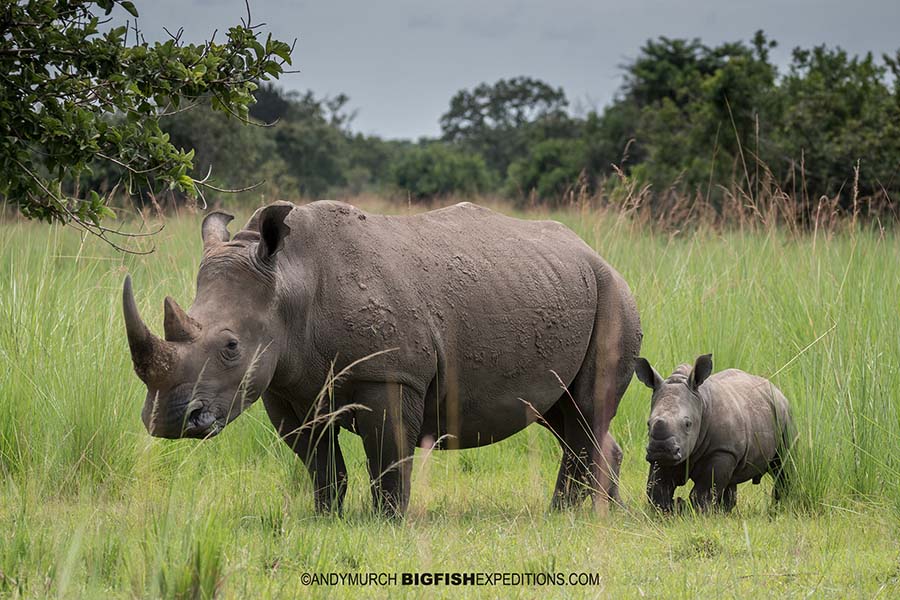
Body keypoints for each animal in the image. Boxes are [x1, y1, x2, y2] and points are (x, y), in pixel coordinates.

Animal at [121, 202, 640, 516]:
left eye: (230, 346)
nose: (167, 421)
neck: (290, 283)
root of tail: (596, 254)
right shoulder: (287, 388)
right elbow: (319, 462)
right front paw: (326, 517)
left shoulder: (392, 375)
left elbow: (388, 455)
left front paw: (387, 521)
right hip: (563, 287)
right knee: (565, 415)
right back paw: (589, 513)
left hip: (614, 294)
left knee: (585, 413)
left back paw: (570, 515)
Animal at [632, 354, 796, 512]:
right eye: (648, 423)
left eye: (688, 424)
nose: (661, 449)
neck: (700, 403)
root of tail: (776, 390)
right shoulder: (663, 458)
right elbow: (657, 489)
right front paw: (668, 511)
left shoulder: (722, 450)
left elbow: (704, 491)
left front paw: (700, 513)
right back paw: (724, 513)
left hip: (784, 415)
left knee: (783, 466)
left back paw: (779, 509)